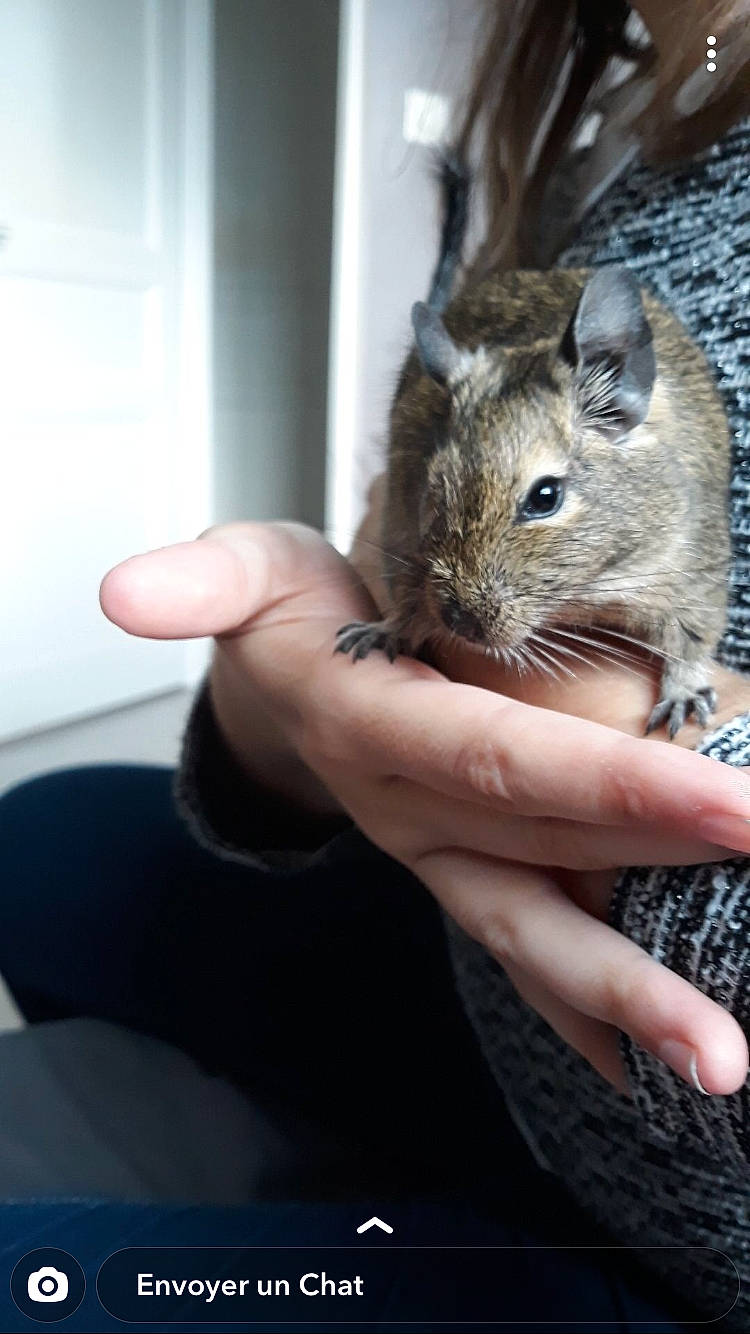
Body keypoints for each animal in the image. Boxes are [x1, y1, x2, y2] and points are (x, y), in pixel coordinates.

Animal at [336, 156, 731, 739]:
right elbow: (406, 601)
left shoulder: (695, 566)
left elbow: (691, 638)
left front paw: (682, 696)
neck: (595, 584)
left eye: (545, 497)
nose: (458, 620)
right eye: (435, 490)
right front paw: (382, 631)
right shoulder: (405, 540)